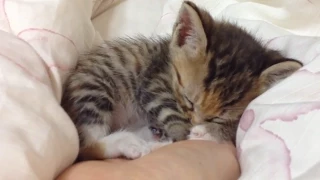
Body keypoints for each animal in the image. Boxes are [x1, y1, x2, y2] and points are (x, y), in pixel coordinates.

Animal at [60, 0, 302, 160]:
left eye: (216, 117)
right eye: (188, 101)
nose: (197, 123)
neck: (168, 58)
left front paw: (209, 131)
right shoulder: (154, 82)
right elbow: (172, 116)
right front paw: (189, 133)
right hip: (94, 88)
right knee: (86, 146)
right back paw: (131, 144)